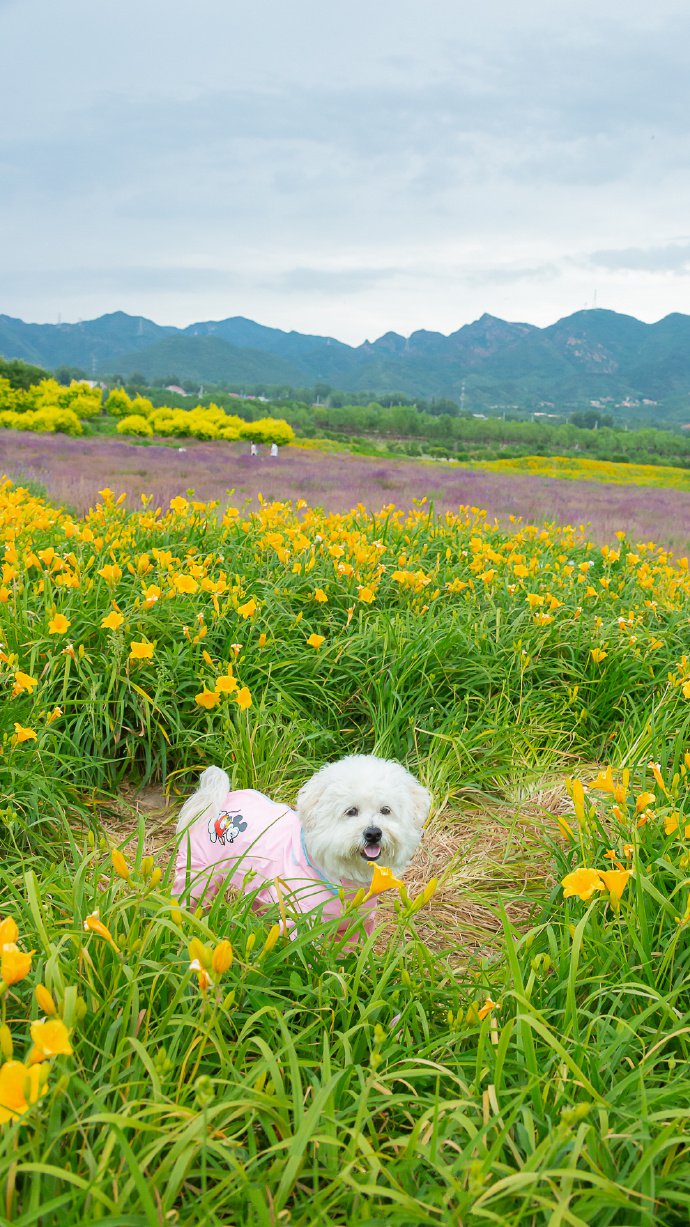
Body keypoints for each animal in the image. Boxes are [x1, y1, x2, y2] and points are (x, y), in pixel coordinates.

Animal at [173, 750, 429, 932]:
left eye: (386, 810)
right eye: (351, 811)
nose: (373, 833)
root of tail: (218, 799)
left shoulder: (359, 924)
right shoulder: (304, 919)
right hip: (197, 874)